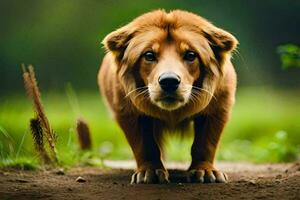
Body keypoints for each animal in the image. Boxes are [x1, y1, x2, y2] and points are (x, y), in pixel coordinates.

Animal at [99, 9, 238, 184]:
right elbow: (144, 145)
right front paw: (149, 172)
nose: (169, 81)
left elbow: (206, 144)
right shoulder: (127, 111)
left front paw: (205, 172)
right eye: (149, 55)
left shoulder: (217, 108)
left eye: (190, 55)